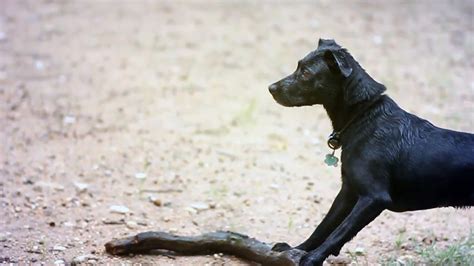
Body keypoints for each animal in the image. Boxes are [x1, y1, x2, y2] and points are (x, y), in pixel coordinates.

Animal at [268, 38, 472, 264]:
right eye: (298, 66)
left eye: (305, 73)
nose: (271, 88)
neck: (364, 116)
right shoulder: (348, 192)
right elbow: (324, 227)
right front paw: (296, 249)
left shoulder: (374, 198)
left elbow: (339, 232)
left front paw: (312, 258)